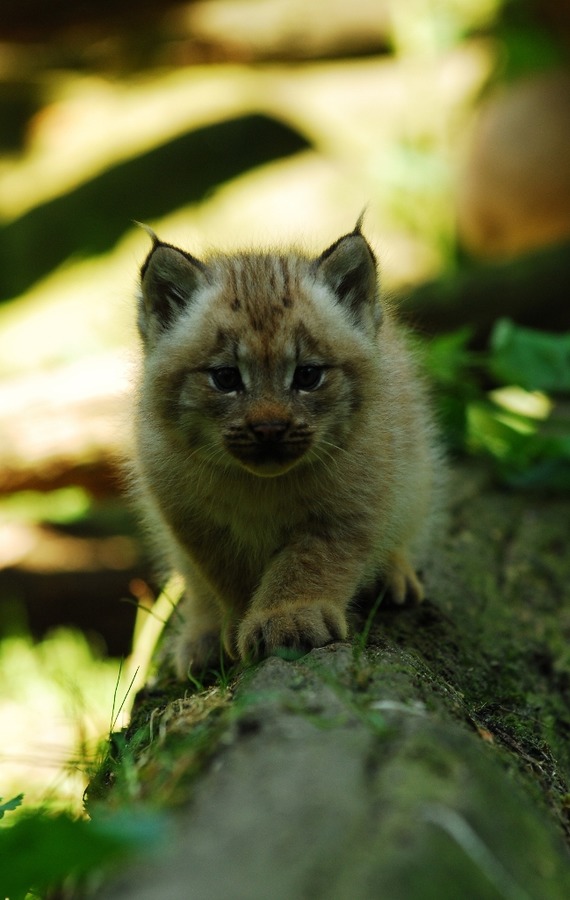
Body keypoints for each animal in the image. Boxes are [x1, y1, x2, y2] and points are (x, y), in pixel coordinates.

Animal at [133, 221, 440, 680]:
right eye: (226, 378)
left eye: (308, 376)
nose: (269, 429)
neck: (262, 484)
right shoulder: (187, 513)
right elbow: (227, 573)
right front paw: (239, 624)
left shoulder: (352, 502)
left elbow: (311, 561)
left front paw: (291, 617)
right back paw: (202, 636)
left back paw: (393, 572)